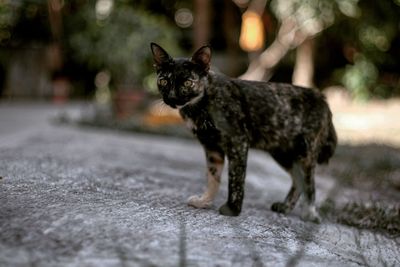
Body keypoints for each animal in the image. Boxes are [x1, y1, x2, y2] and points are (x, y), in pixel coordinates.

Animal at [152, 43, 336, 223]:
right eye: (164, 81)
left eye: (187, 83)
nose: (172, 98)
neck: (199, 106)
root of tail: (321, 97)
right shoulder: (211, 147)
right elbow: (213, 177)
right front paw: (205, 201)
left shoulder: (237, 141)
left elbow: (236, 178)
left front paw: (232, 209)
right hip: (283, 153)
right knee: (298, 181)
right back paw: (286, 207)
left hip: (305, 152)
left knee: (309, 182)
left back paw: (310, 214)